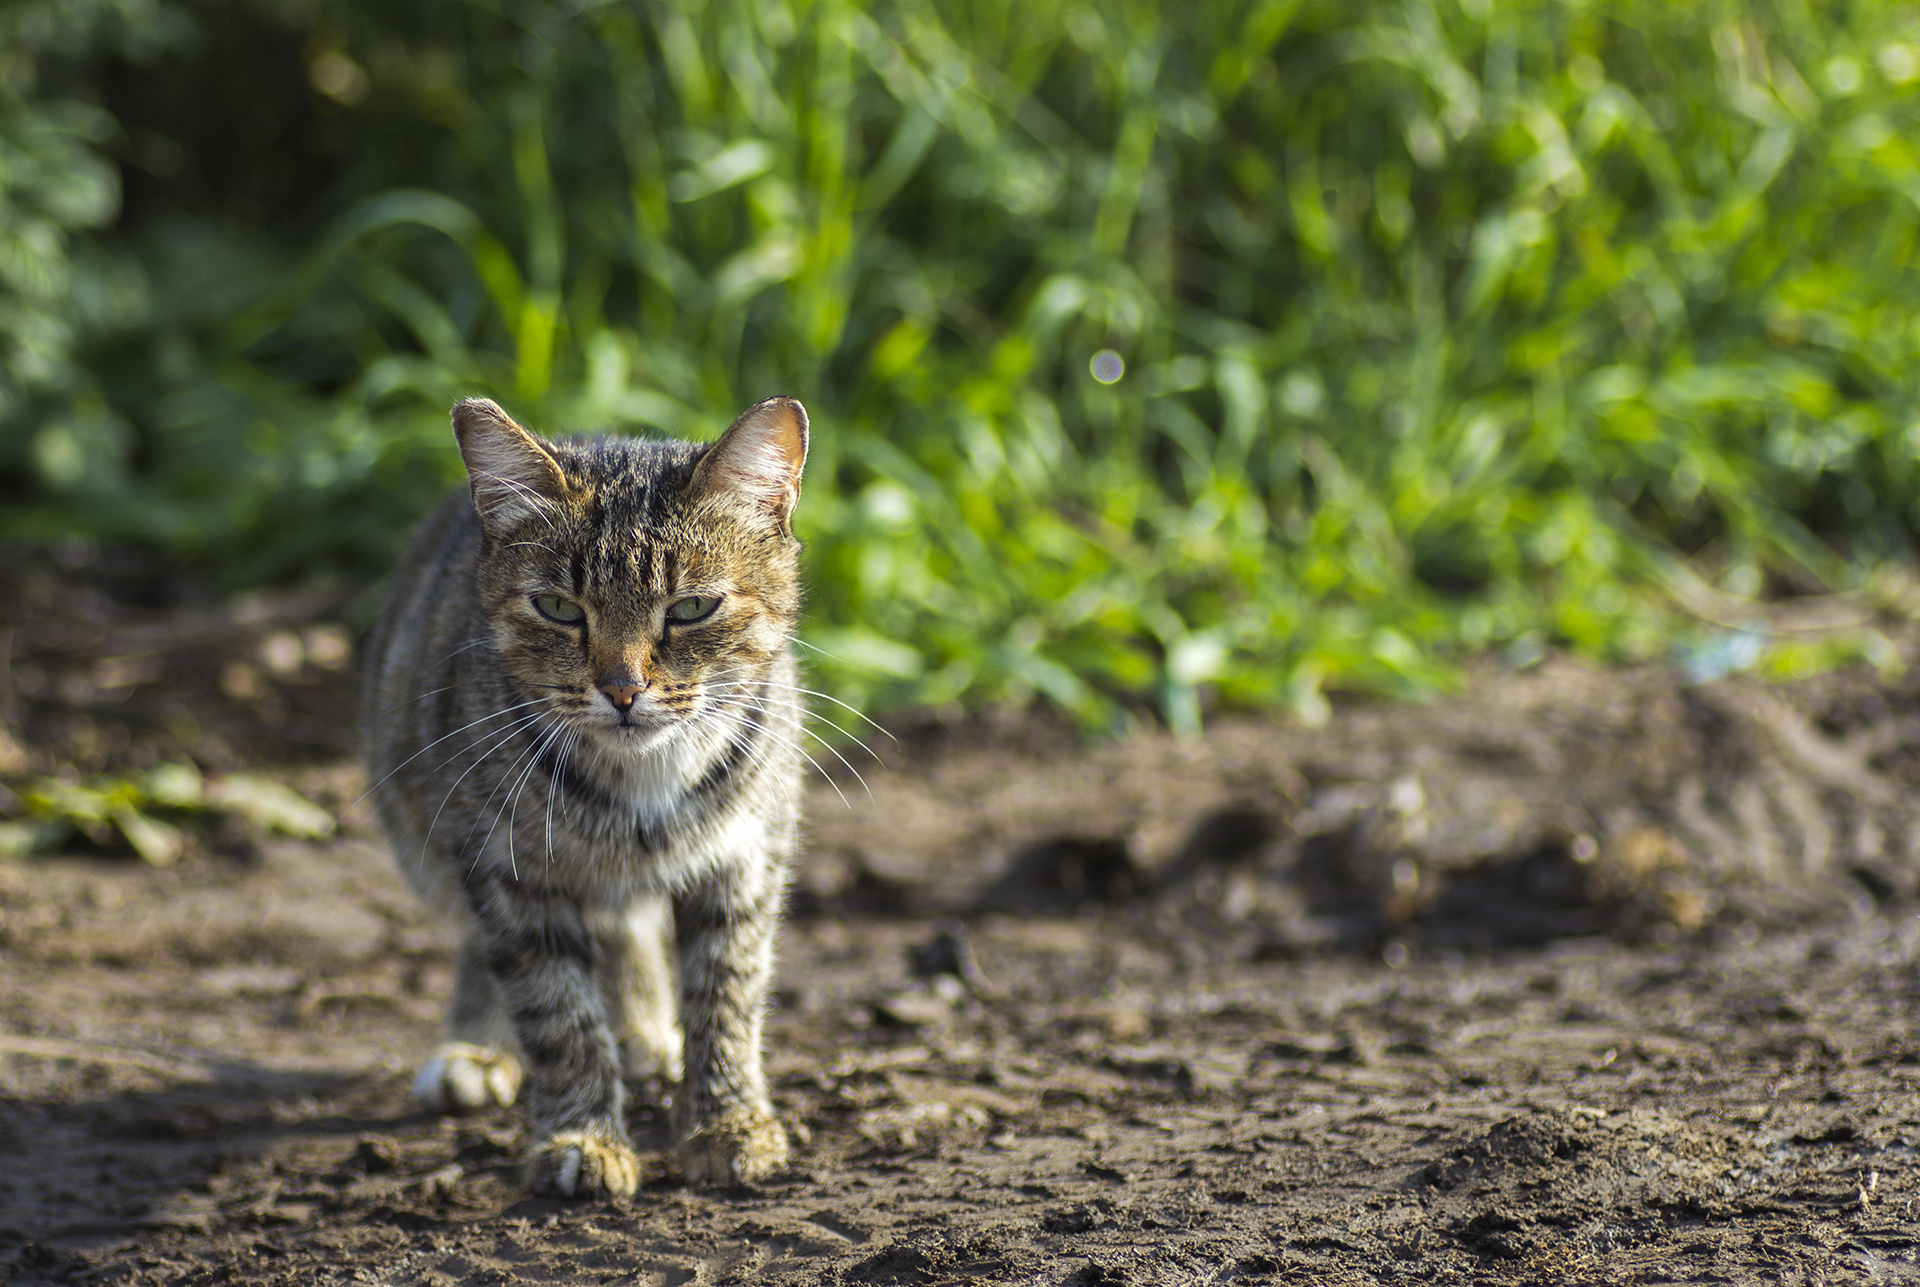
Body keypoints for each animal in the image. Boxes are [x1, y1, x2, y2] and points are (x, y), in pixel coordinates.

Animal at [362, 397, 806, 1206]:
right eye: (558, 608)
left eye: (692, 608)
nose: (622, 689)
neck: (641, 781)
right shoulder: (505, 867)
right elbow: (557, 1013)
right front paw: (582, 1136)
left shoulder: (747, 857)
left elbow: (727, 994)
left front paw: (728, 1122)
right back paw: (476, 1046)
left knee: (629, 929)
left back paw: (646, 1032)